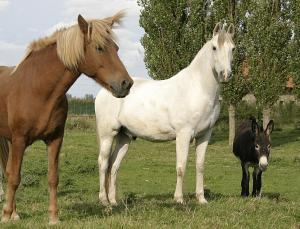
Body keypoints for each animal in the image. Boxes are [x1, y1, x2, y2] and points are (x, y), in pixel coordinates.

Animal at [0, 11, 132, 224]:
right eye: (99, 48)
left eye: (117, 48)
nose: (126, 84)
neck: (36, 89)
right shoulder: (19, 140)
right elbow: (15, 178)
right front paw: (5, 216)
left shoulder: (55, 140)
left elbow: (53, 178)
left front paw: (53, 217)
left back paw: (16, 213)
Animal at [95, 23, 236, 206]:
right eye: (214, 47)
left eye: (233, 48)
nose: (225, 74)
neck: (197, 88)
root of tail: (106, 90)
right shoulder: (183, 134)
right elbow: (181, 166)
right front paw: (179, 199)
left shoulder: (205, 135)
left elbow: (200, 166)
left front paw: (201, 198)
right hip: (107, 135)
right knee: (103, 163)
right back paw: (104, 200)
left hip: (123, 137)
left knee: (114, 165)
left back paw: (113, 201)